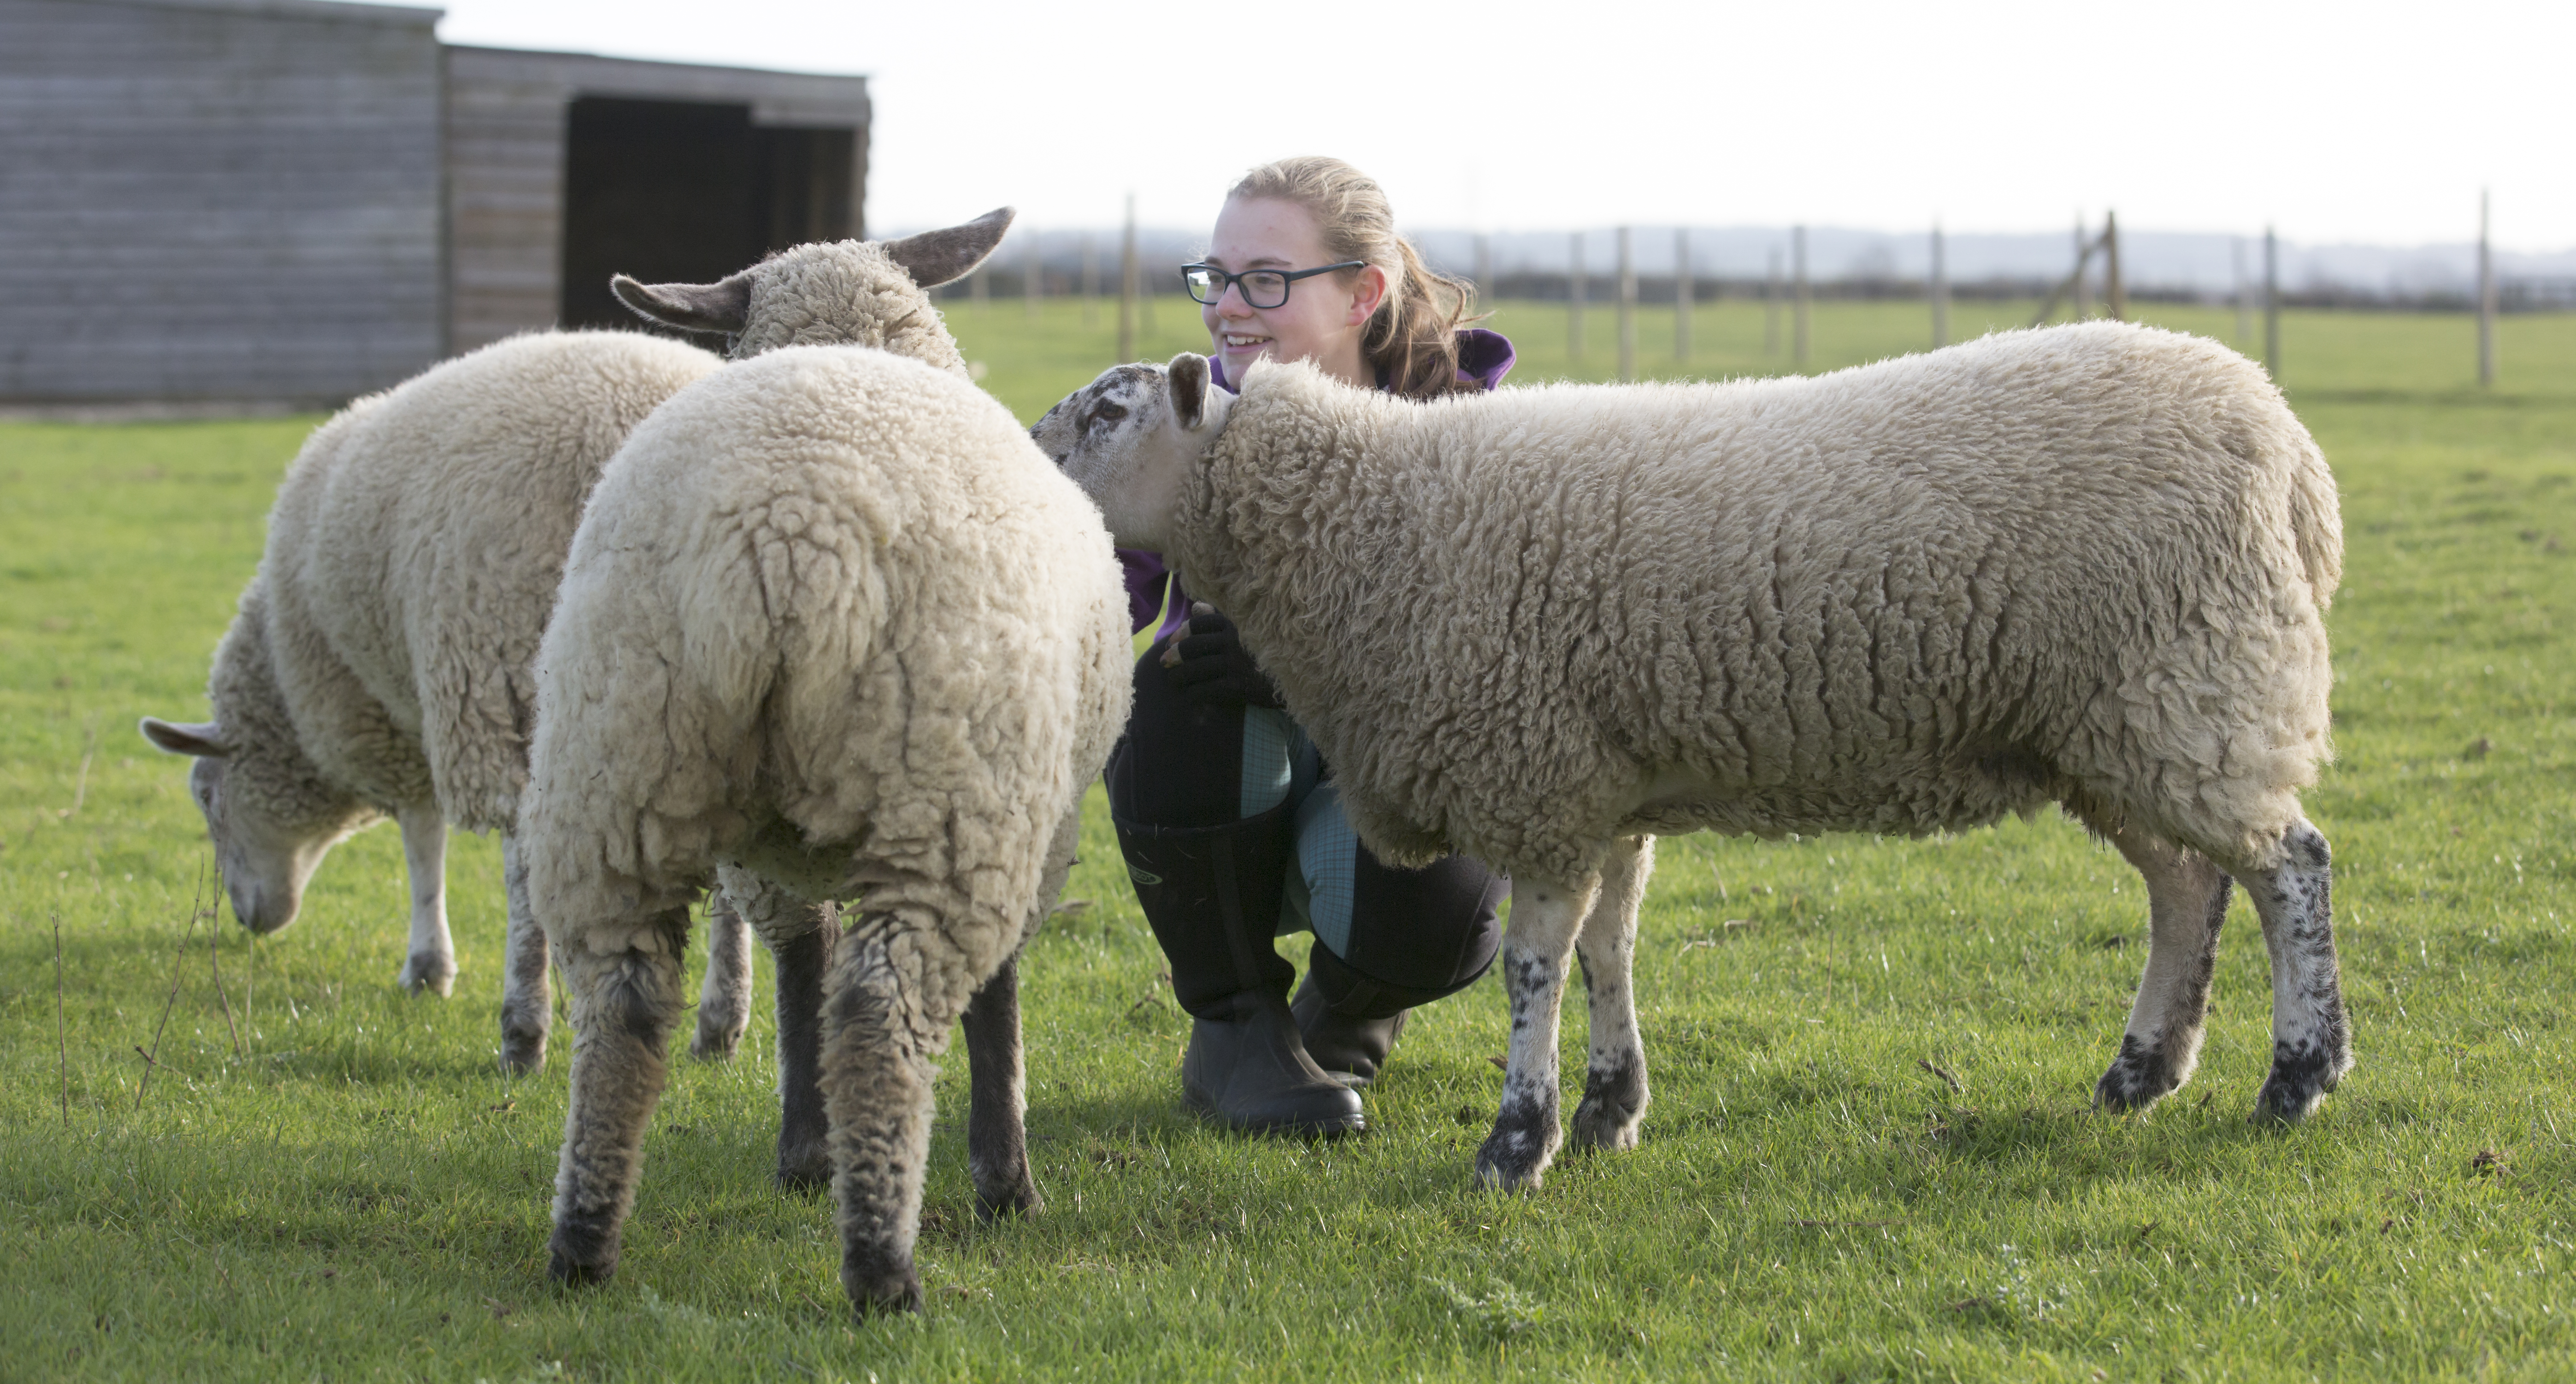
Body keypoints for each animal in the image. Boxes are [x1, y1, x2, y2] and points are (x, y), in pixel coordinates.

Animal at [520, 340, 1128, 1309]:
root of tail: (784, 533)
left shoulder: (762, 858)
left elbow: (802, 961)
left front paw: (804, 1154)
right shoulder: (1038, 827)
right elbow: (994, 996)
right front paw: (1005, 1180)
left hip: (615, 765)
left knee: (624, 1001)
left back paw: (583, 1240)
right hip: (949, 789)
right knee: (883, 1010)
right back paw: (883, 1264)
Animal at [1040, 316, 2359, 1185]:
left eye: (1108, 411)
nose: (1019, 463)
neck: (1371, 523)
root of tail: (2296, 455)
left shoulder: (1533, 775)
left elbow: (1534, 970)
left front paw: (1518, 1141)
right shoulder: (1599, 782)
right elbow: (1606, 951)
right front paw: (1609, 1110)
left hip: (2189, 684)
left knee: (2287, 866)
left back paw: (2297, 1076)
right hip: (2117, 724)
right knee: (2187, 887)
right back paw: (2141, 1073)